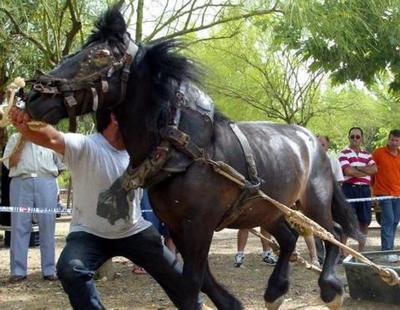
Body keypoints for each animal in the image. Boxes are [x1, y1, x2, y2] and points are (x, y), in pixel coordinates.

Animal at [25, 7, 362, 310]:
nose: (33, 97)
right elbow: (201, 280)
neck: (183, 150)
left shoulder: (198, 225)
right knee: (290, 238)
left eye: (100, 56)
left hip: (313, 201)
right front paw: (232, 303)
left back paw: (331, 289)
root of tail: (314, 142)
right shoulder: (176, 226)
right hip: (266, 209)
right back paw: (274, 293)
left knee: (334, 233)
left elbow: (191, 285)